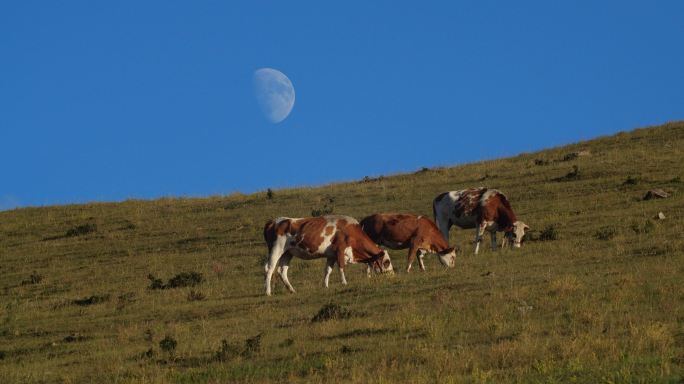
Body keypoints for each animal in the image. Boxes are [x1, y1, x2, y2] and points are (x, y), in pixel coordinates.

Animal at [264, 214, 392, 296]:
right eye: (387, 262)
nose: (392, 275)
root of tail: (274, 221)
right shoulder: (340, 250)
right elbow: (341, 268)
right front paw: (344, 283)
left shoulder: (331, 255)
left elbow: (327, 270)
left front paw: (325, 286)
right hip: (276, 249)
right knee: (269, 269)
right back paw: (268, 292)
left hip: (287, 253)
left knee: (282, 271)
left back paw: (292, 290)